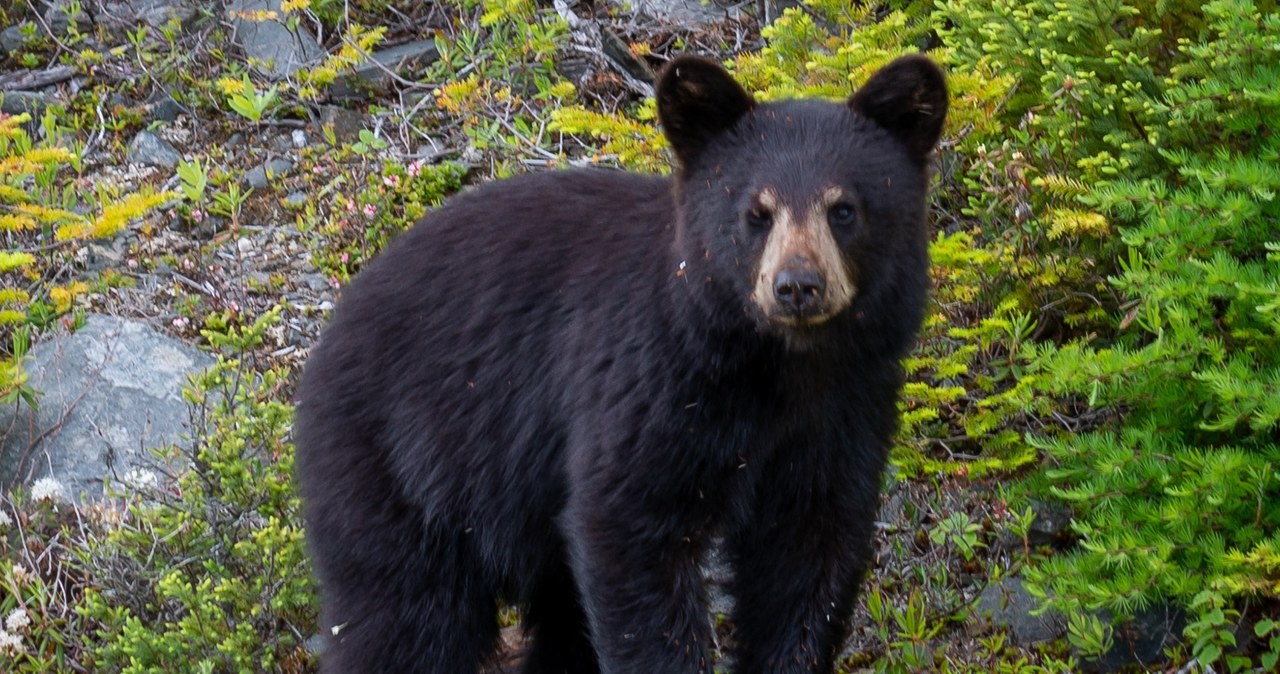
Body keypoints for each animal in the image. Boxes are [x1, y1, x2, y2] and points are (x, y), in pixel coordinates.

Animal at [294, 54, 947, 674]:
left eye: (844, 209)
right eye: (756, 213)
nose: (797, 286)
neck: (775, 367)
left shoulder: (844, 408)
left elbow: (807, 555)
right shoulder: (649, 383)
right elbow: (630, 530)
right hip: (402, 469)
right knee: (405, 616)